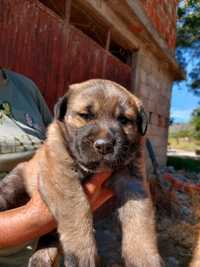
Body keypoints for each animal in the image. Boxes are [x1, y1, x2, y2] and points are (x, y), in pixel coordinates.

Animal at [0, 80, 162, 267]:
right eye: (86, 116)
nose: (104, 146)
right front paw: (82, 253)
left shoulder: (133, 181)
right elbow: (76, 209)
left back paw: (41, 258)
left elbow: (140, 220)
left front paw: (144, 257)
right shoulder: (61, 176)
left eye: (123, 120)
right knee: (7, 190)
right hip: (19, 176)